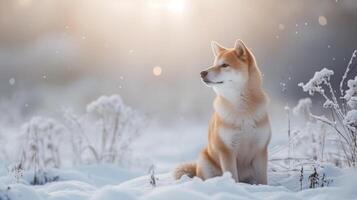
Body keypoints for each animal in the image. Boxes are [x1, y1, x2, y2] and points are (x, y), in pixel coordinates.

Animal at [172, 39, 270, 184]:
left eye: (224, 65)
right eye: (214, 64)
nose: (202, 73)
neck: (243, 111)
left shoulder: (260, 150)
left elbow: (263, 180)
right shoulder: (226, 150)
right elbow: (232, 176)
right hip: (205, 160)